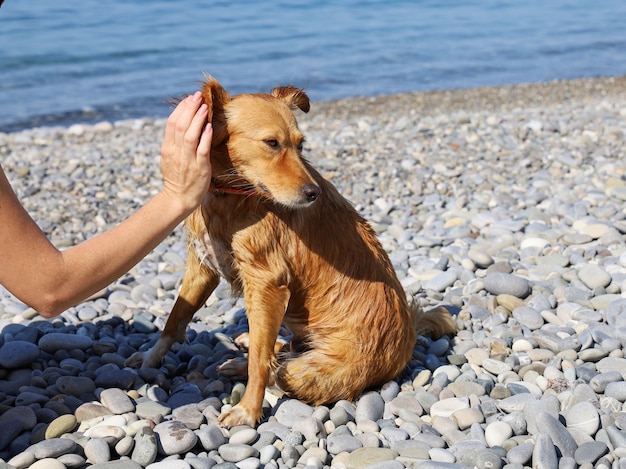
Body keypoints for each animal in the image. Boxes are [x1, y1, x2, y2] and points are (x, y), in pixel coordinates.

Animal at [128, 76, 458, 424]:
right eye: (271, 143)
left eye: (300, 145)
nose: (313, 193)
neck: (231, 195)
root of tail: (408, 338)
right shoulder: (203, 265)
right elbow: (175, 319)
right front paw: (150, 357)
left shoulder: (267, 283)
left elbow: (259, 362)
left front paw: (248, 410)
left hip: (310, 370)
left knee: (280, 368)